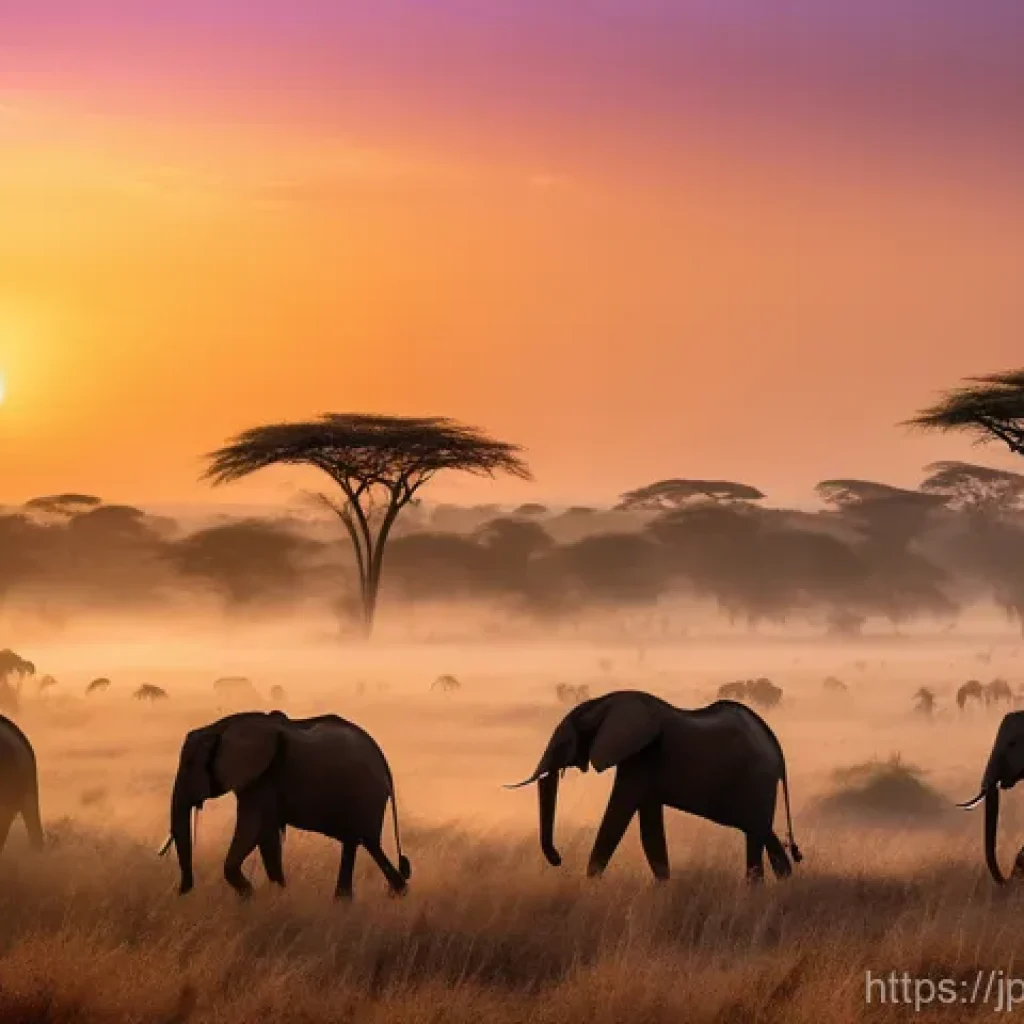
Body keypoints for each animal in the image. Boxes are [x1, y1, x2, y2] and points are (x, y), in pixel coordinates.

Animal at [161, 711, 411, 900]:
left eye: (189, 764)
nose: (182, 890)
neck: (219, 728)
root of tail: (385, 765)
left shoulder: (261, 780)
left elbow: (252, 829)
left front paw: (250, 896)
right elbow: (267, 838)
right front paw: (278, 895)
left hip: (366, 796)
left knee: (366, 843)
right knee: (360, 844)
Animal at [507, 691, 802, 882]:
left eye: (564, 743)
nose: (558, 858)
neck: (605, 702)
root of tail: (777, 750)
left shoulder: (641, 757)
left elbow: (617, 815)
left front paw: (589, 886)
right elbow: (649, 830)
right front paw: (663, 887)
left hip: (758, 781)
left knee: (756, 833)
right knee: (760, 831)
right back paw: (780, 883)